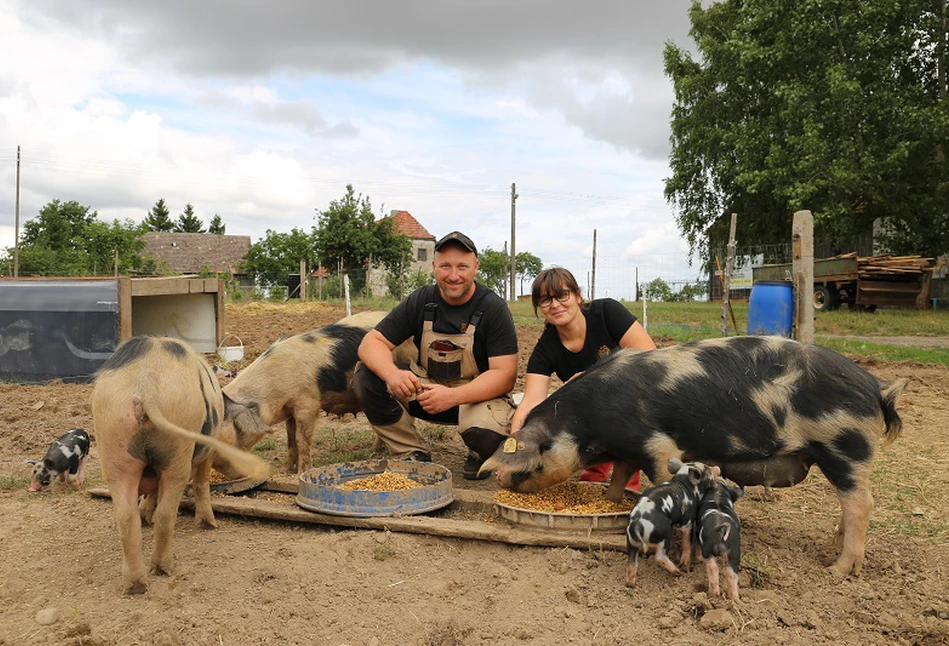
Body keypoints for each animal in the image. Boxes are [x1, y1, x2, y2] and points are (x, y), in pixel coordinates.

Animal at [224, 312, 416, 474]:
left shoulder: (307, 403)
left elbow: (302, 439)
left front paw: (301, 473)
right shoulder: (289, 410)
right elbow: (290, 439)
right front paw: (284, 471)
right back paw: (373, 451)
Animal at [624, 458, 716, 588]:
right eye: (707, 469)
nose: (716, 467)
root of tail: (637, 523)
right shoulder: (687, 520)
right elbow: (687, 542)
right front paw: (686, 569)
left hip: (631, 542)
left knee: (631, 561)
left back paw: (630, 585)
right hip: (665, 534)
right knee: (659, 557)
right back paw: (677, 572)